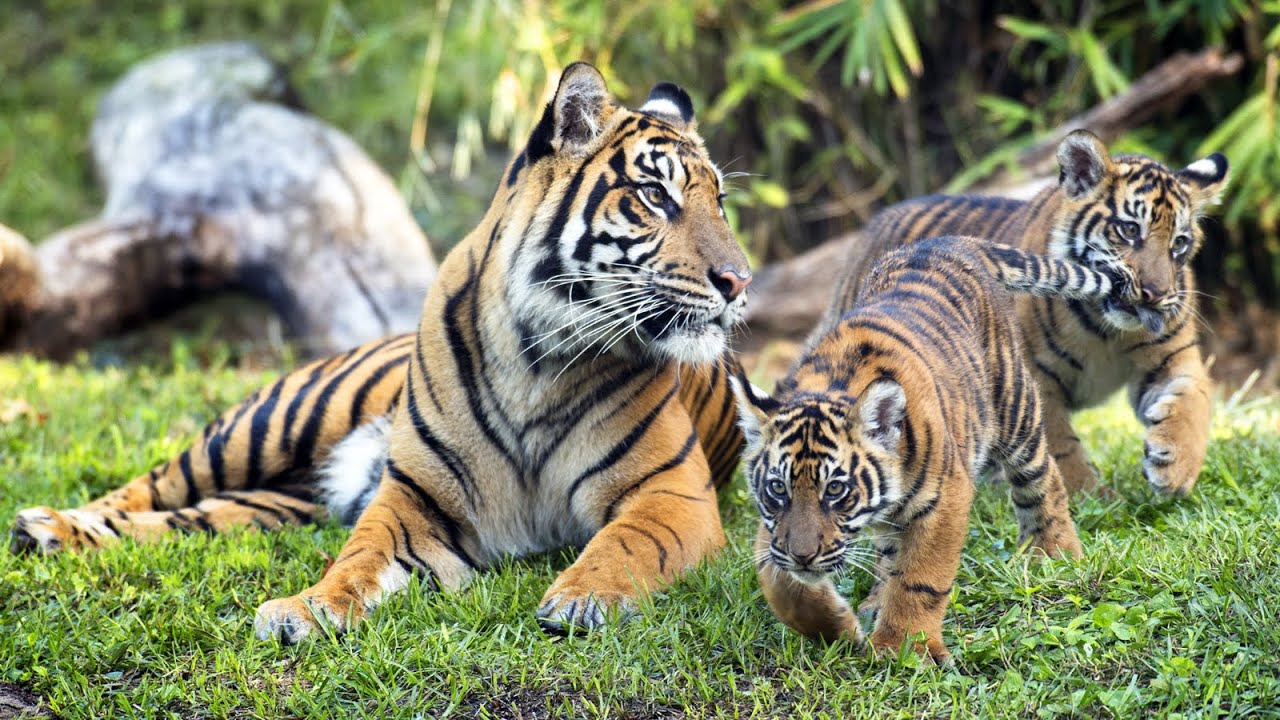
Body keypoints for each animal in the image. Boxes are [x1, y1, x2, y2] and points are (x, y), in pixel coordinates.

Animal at [9, 62, 751, 643]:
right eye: (655, 195)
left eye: (719, 201)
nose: (740, 280)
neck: (540, 358)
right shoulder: (417, 500)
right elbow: (358, 558)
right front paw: (306, 609)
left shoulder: (669, 494)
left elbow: (625, 545)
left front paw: (582, 597)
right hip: (265, 425)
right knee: (152, 485)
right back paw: (48, 526)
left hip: (274, 503)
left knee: (188, 520)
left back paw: (53, 533)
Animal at [731, 236, 1127, 663]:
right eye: (777, 489)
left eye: (835, 490)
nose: (803, 556)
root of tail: (948, 242)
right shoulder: (774, 529)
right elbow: (782, 583)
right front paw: (833, 624)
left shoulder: (946, 498)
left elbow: (919, 578)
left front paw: (905, 646)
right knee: (889, 551)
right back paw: (874, 600)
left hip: (1014, 408)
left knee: (1042, 477)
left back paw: (1054, 552)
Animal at [824, 130, 1229, 496]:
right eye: (1129, 229)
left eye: (1179, 243)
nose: (1155, 294)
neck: (1107, 329)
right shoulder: (1034, 378)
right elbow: (1059, 445)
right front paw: (1089, 496)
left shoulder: (1173, 358)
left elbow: (1193, 403)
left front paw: (1174, 467)